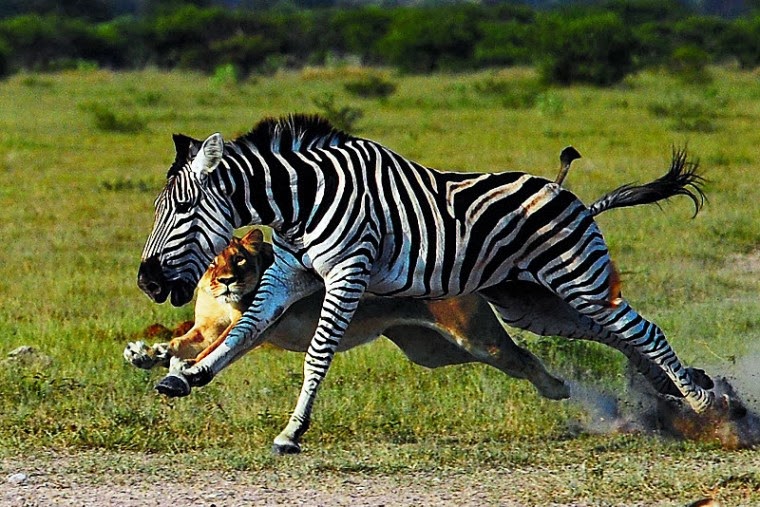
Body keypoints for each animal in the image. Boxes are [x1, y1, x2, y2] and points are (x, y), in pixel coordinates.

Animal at [138, 114, 714, 454]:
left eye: (183, 208)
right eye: (161, 208)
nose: (146, 281)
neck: (302, 202)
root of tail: (567, 194)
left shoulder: (347, 271)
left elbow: (317, 353)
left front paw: (291, 431)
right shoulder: (287, 273)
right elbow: (242, 331)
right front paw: (186, 375)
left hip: (574, 278)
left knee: (642, 330)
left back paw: (700, 402)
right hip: (532, 299)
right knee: (616, 333)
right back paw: (684, 387)